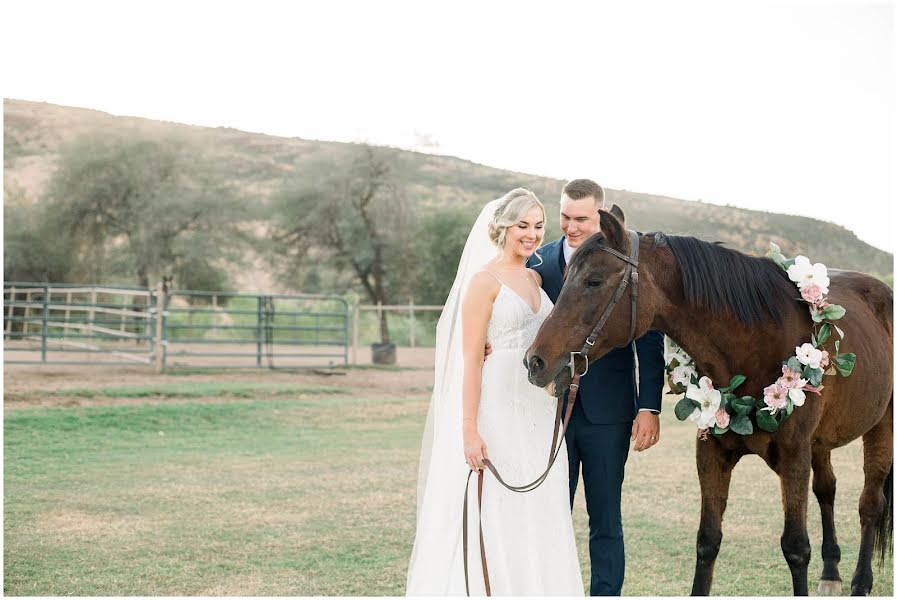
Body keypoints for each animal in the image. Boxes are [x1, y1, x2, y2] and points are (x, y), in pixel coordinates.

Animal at [524, 206, 888, 596]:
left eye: (593, 281)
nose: (535, 362)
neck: (757, 342)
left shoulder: (794, 456)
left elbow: (795, 547)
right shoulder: (711, 454)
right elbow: (707, 540)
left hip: (880, 428)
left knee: (870, 504)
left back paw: (861, 581)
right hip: (820, 444)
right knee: (827, 490)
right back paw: (832, 571)